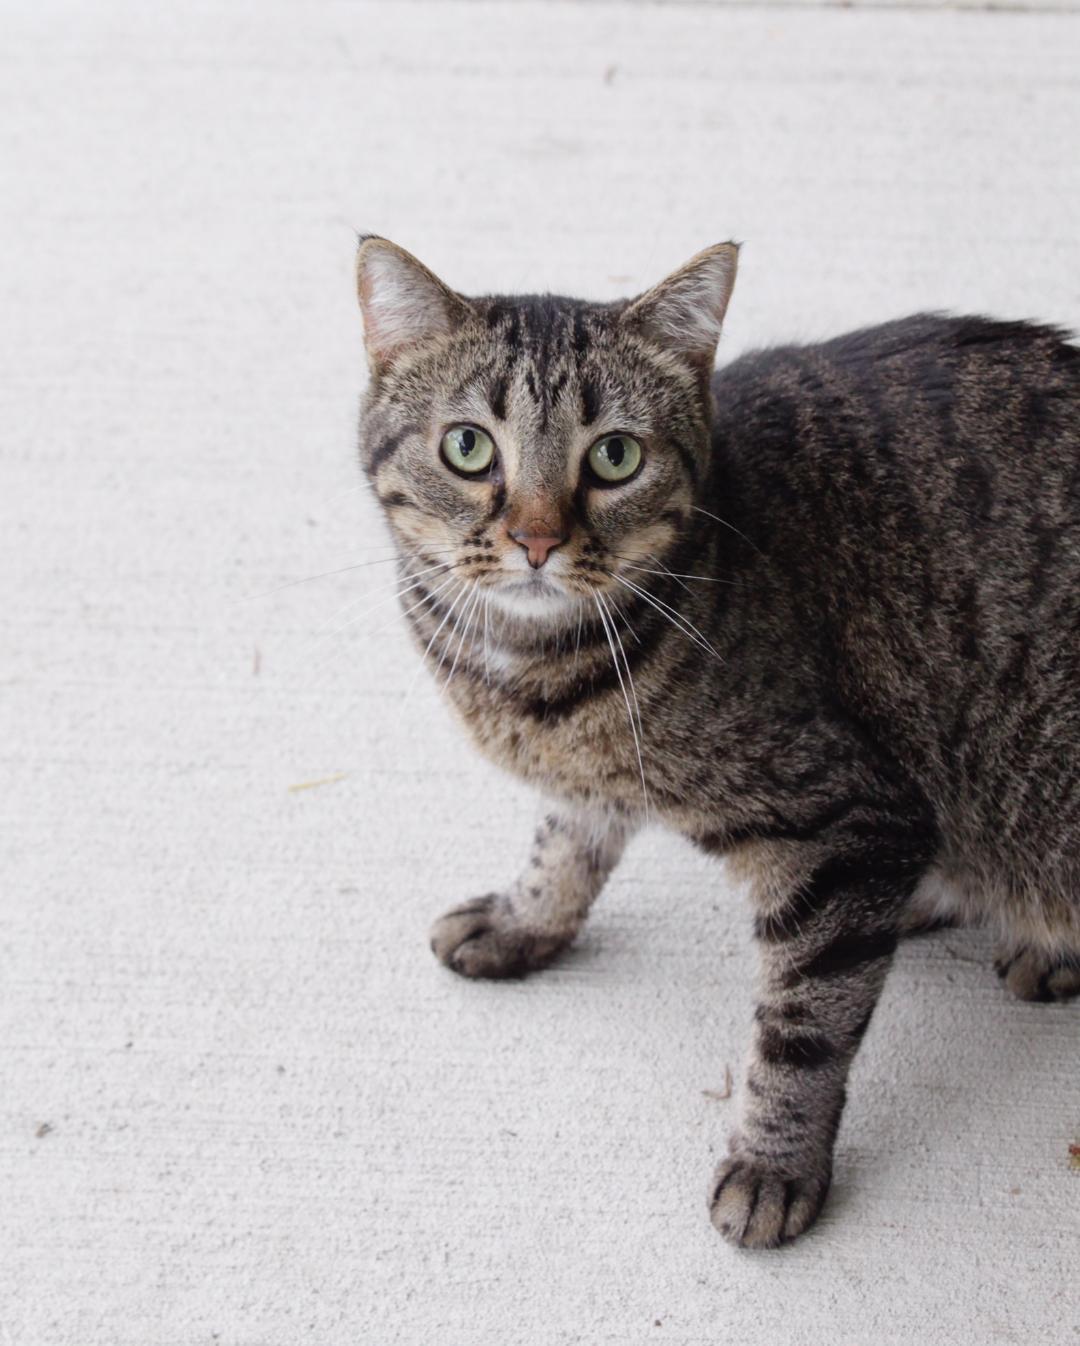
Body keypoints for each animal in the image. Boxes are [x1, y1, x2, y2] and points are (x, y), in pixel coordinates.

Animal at [352, 234, 1077, 1249]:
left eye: (614, 456)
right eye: (468, 447)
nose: (536, 539)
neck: (535, 680)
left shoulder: (848, 825)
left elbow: (802, 1028)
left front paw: (772, 1165)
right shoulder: (590, 787)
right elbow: (560, 848)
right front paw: (521, 920)